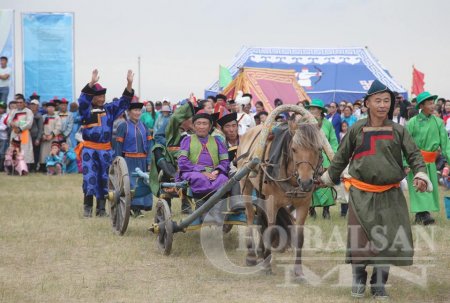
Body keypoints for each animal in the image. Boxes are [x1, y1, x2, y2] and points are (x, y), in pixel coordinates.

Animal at [236, 105, 334, 282]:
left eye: (318, 149)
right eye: (294, 149)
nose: (306, 182)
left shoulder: (303, 205)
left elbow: (299, 237)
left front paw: (298, 272)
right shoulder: (272, 202)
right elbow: (270, 229)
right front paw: (267, 266)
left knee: (260, 218)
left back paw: (260, 251)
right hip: (246, 186)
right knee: (250, 217)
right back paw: (252, 255)